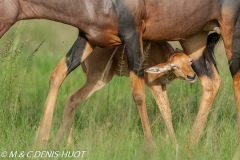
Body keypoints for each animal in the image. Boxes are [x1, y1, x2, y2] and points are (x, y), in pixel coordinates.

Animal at [0, 0, 239, 148]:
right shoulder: (88, 37)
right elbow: (57, 75)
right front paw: (43, 141)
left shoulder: (133, 35)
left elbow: (138, 94)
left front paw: (150, 147)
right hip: (193, 37)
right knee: (211, 82)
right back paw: (189, 146)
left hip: (230, 30)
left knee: (235, 81)